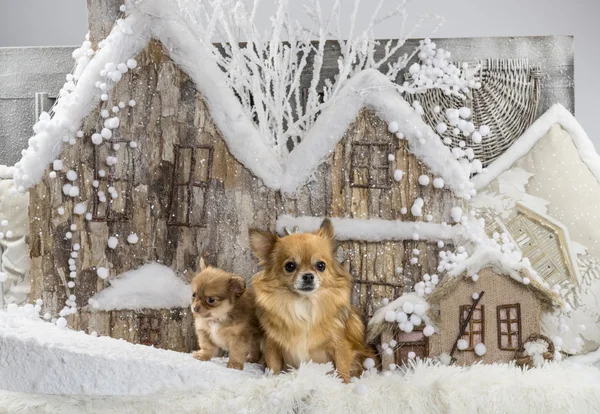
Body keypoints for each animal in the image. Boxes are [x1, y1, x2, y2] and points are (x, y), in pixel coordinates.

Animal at [247, 218, 370, 384]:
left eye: (321, 265)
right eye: (290, 266)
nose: (308, 276)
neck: (304, 304)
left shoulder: (341, 346)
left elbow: (342, 369)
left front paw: (344, 385)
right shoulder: (272, 345)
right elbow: (273, 368)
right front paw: (272, 380)